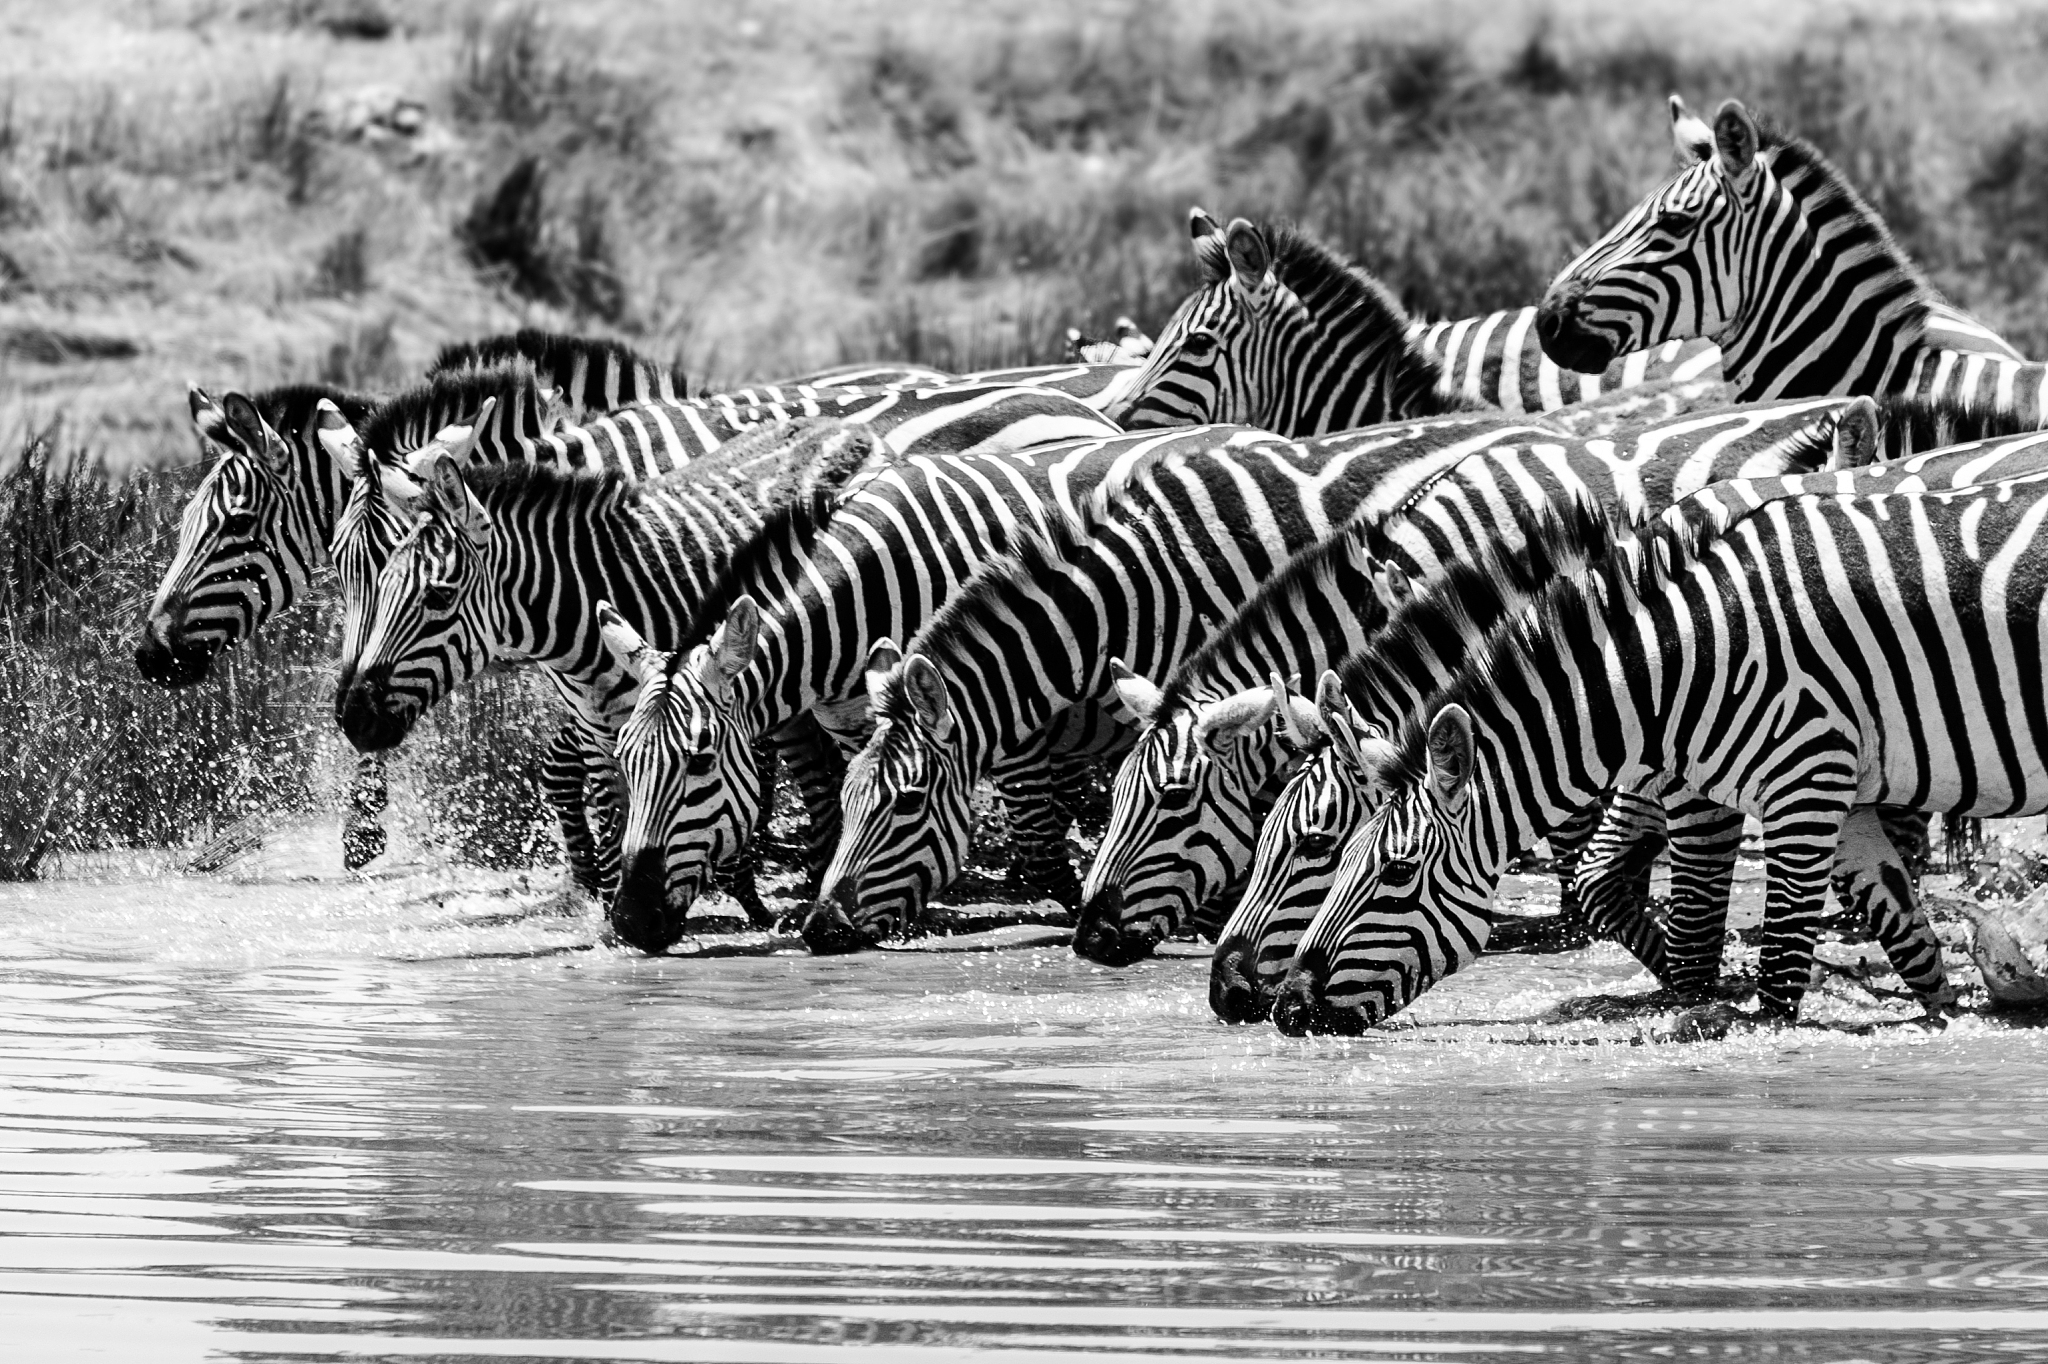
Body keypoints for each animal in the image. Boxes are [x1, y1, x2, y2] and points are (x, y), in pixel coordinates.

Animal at [1272, 455, 2048, 1035]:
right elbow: (1905, 932)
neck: (1670, 665)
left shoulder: (1797, 783)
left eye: (1395, 872)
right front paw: (1957, 1014)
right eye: (1337, 855)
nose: (1285, 1008)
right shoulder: (1842, 795)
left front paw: (1719, 1011)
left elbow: (1766, 972)